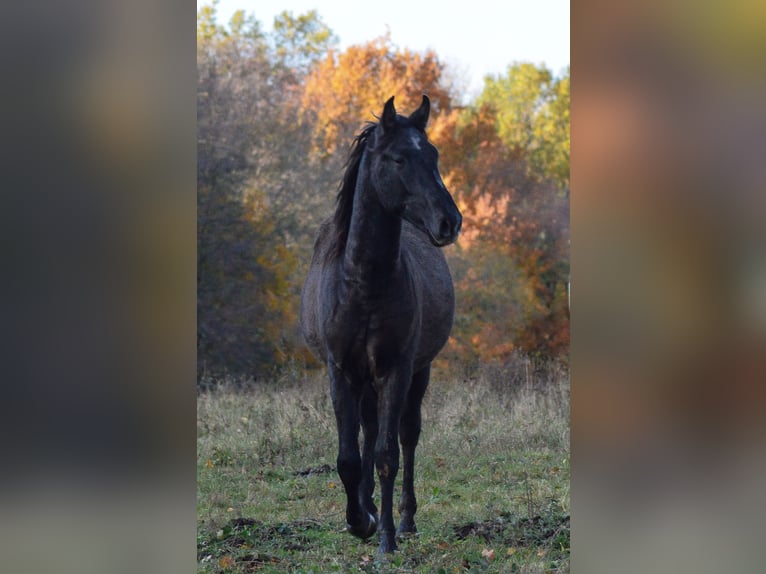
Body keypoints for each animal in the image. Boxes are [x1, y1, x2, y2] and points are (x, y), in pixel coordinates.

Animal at [302, 95, 464, 560]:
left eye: (434, 156)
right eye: (398, 158)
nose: (450, 221)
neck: (363, 284)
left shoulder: (397, 369)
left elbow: (387, 454)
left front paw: (386, 537)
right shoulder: (341, 372)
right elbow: (349, 457)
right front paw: (360, 521)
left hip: (418, 372)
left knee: (406, 436)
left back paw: (405, 520)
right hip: (364, 380)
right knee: (368, 432)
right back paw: (369, 507)